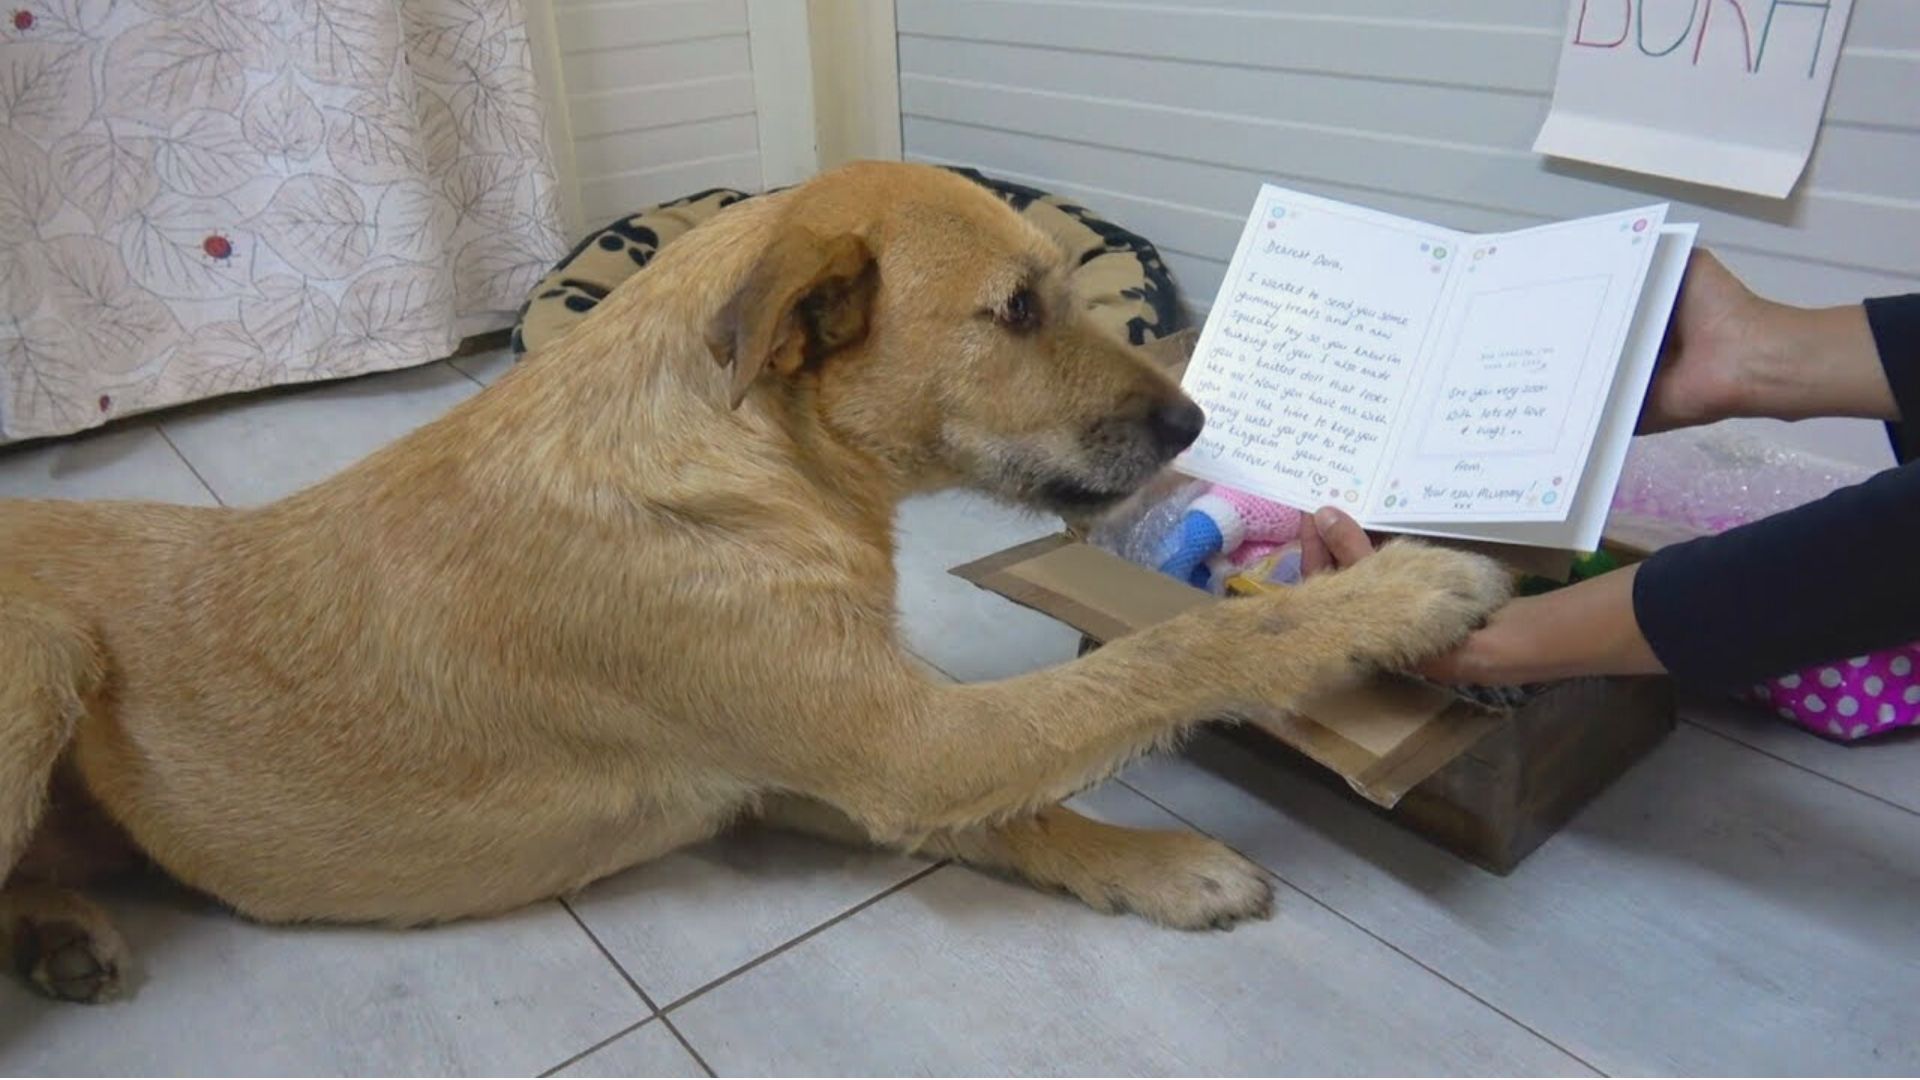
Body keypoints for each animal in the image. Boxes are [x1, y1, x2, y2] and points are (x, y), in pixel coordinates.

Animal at [0, 161, 1505, 999]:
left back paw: (59, 933)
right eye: (1018, 312)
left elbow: (1027, 814)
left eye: (1066, 292)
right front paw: (1392, 598)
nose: (1194, 425)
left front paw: (1156, 867)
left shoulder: (830, 763)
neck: (754, 453)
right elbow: (1165, 658)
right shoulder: (907, 744)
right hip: (39, 669)